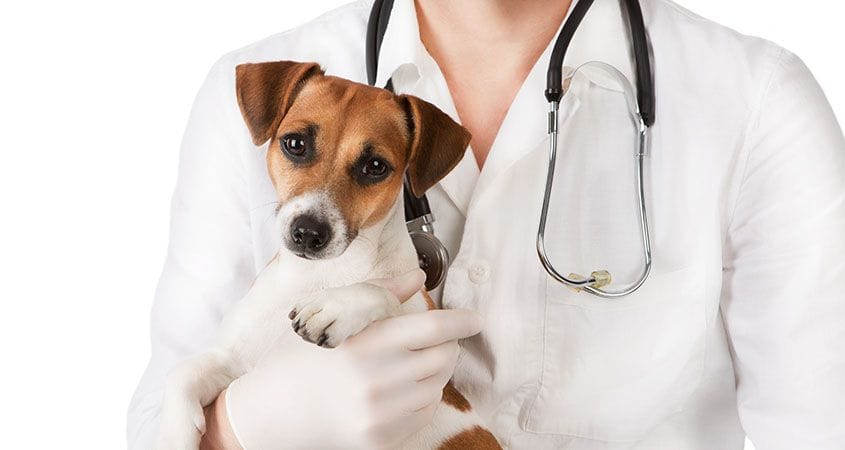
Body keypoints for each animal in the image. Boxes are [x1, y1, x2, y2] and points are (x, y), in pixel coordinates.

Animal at [155, 60, 502, 450]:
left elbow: (383, 293)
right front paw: (172, 434)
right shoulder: (234, 361)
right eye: (295, 144)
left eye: (375, 166)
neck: (321, 275)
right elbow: (183, 371)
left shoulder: (428, 330)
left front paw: (336, 307)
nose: (308, 232)